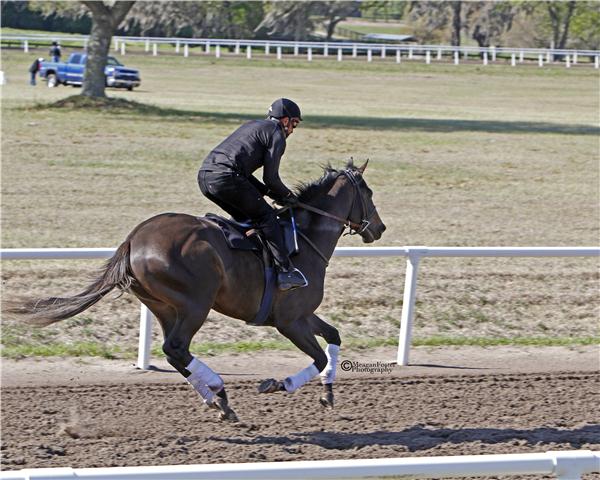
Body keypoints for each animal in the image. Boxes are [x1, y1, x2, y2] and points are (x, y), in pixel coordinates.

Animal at [9, 160, 386, 420]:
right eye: (368, 193)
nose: (379, 228)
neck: (305, 239)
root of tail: (133, 240)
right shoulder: (289, 321)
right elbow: (319, 356)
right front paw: (278, 384)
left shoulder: (304, 315)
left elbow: (334, 336)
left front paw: (328, 394)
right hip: (195, 304)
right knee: (176, 348)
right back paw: (218, 392)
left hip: (164, 306)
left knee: (175, 352)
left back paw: (217, 400)